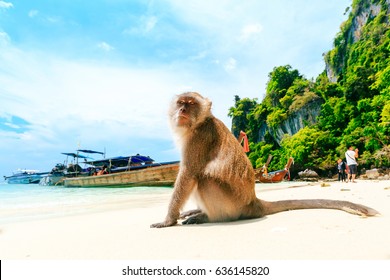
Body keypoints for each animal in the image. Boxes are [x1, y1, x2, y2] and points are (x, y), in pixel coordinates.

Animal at [151, 93, 380, 229]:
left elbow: (189, 174)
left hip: (231, 205)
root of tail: (253, 202)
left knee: (204, 178)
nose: (182, 110)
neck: (199, 123)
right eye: (181, 103)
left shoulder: (199, 138)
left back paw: (209, 217)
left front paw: (168, 220)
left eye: (190, 105)